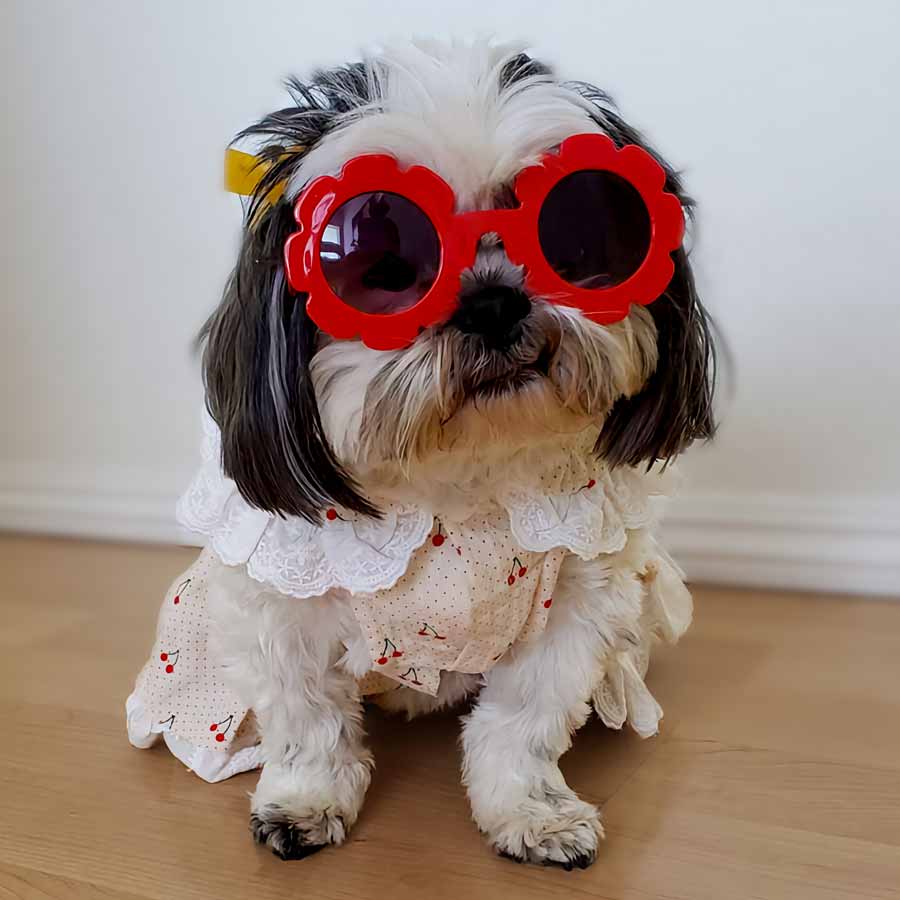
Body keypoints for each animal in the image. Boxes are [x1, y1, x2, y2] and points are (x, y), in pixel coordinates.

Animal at [126, 38, 716, 868]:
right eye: (381, 266)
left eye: (583, 236)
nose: (494, 299)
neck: (459, 485)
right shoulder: (280, 610)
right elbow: (308, 721)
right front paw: (303, 802)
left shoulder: (579, 604)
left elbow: (522, 723)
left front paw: (531, 813)